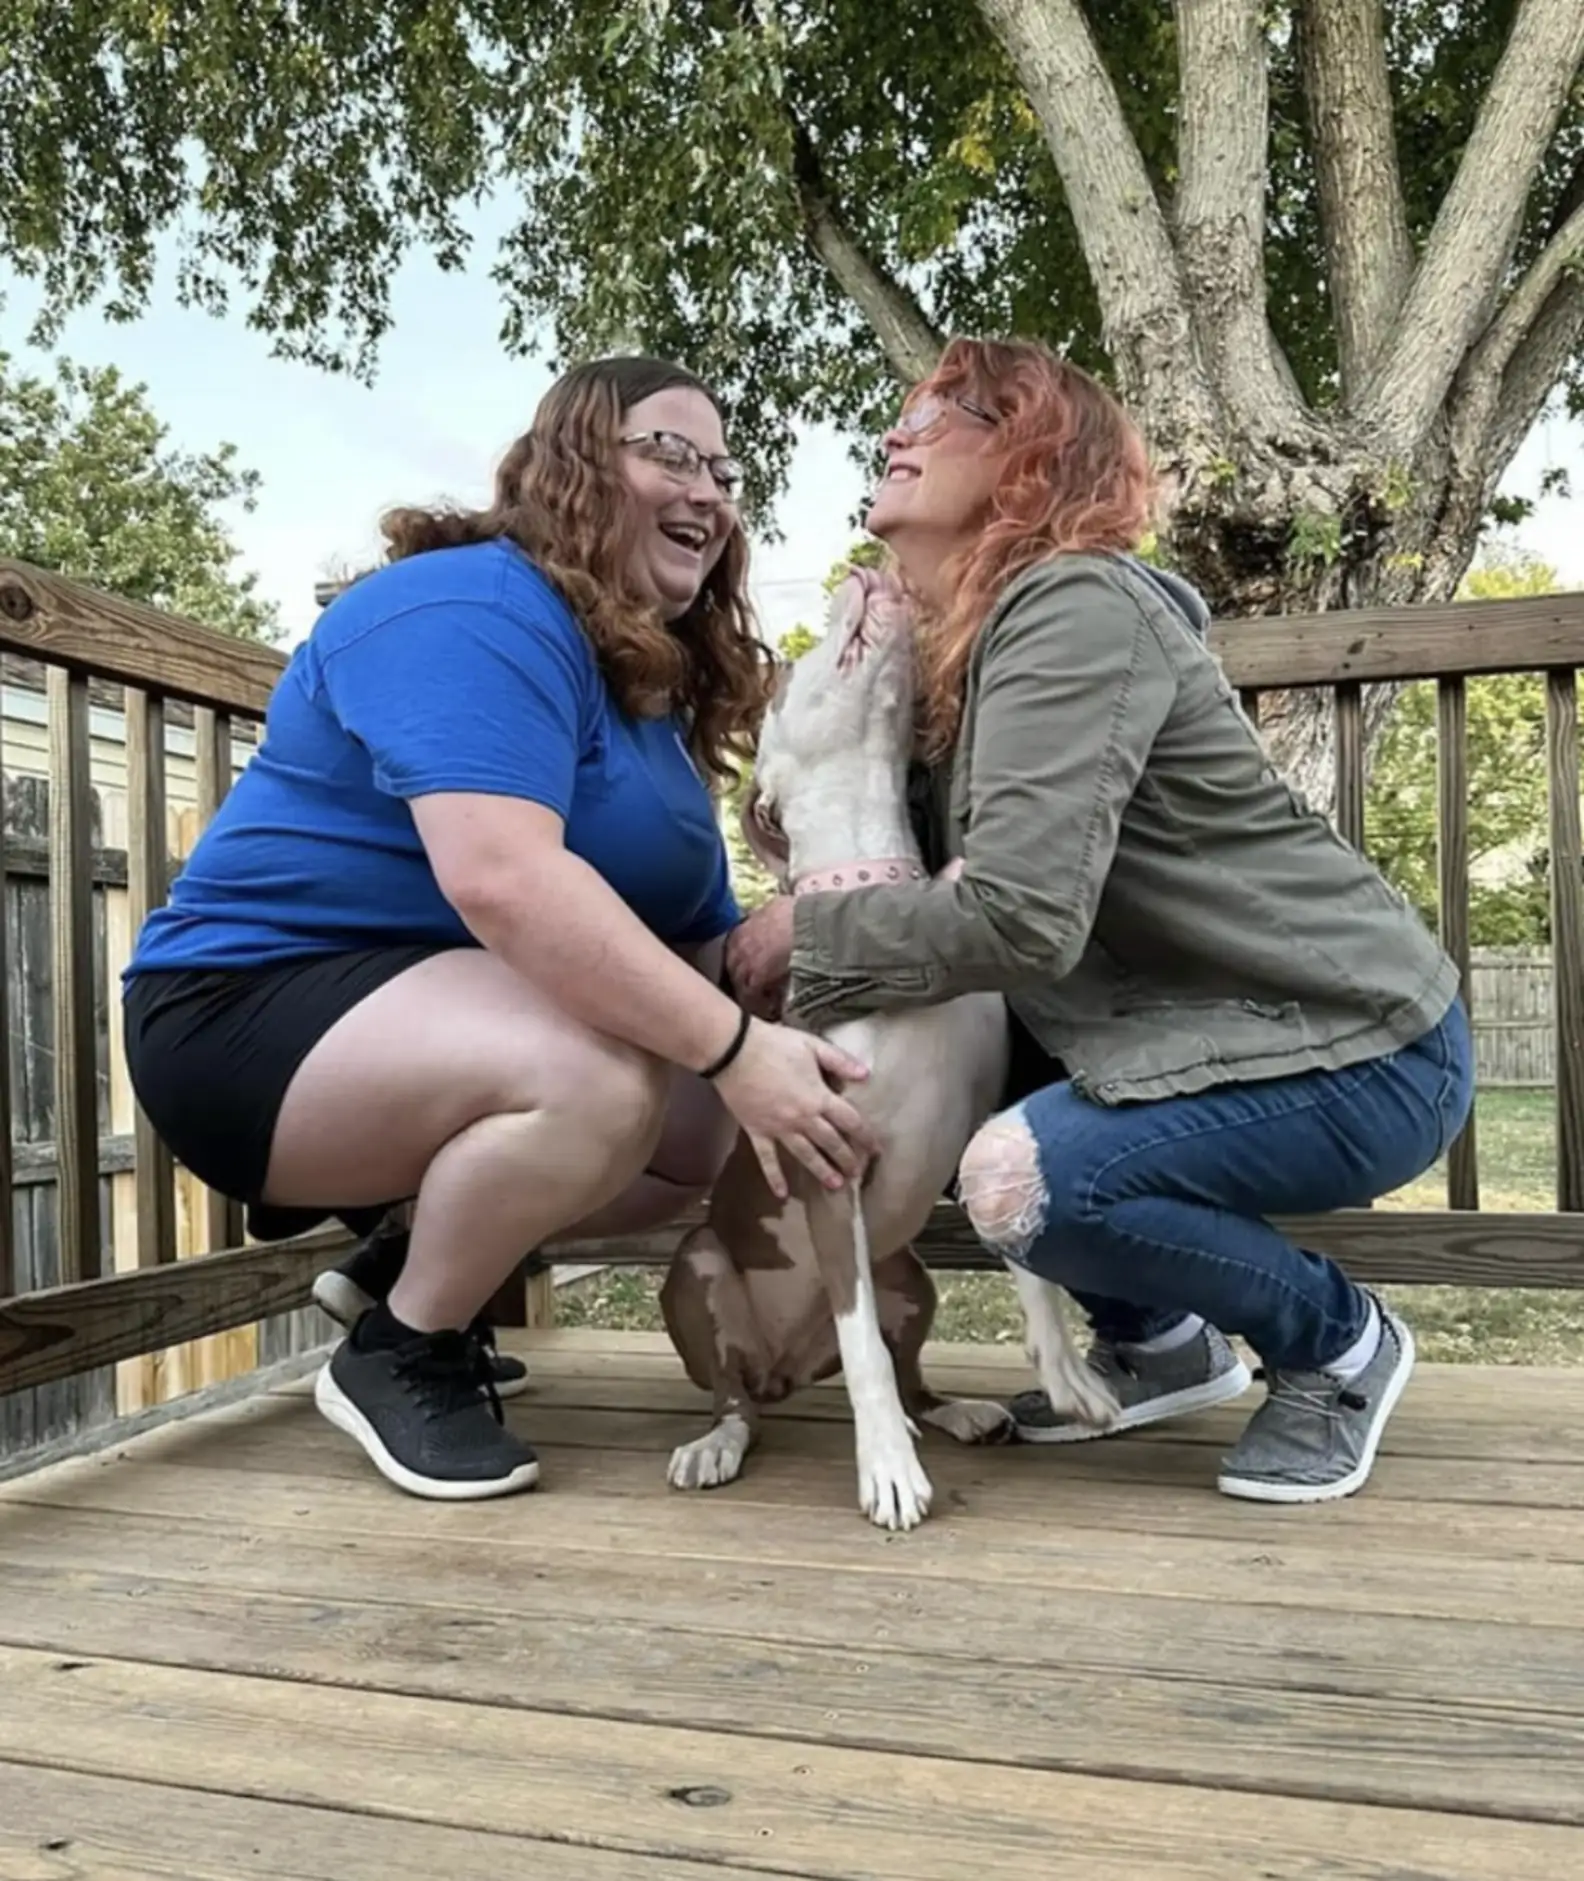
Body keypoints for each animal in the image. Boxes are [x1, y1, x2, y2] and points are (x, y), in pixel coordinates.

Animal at [654, 560, 1113, 1527]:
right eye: (787, 676)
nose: (869, 570)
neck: (885, 894)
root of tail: (786, 1368)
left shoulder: (975, 1120)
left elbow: (1024, 1264)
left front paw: (1066, 1372)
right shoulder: (829, 1168)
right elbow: (859, 1341)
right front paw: (888, 1473)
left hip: (913, 1277)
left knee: (909, 1377)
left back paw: (957, 1411)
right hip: (699, 1267)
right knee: (739, 1395)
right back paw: (721, 1442)